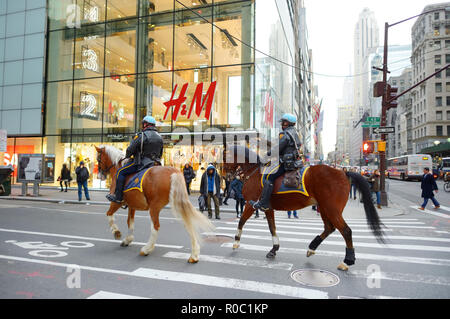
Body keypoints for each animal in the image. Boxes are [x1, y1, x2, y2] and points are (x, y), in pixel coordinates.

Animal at [223, 146, 384, 272]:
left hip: (331, 209)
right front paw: (274, 249)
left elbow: (242, 221)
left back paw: (347, 261)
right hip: (324, 208)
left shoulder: (251, 204)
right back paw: (311, 248)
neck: (254, 172)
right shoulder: (268, 208)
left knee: (345, 231)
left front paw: (236, 242)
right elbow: (272, 227)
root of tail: (343, 172)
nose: (226, 174)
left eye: (225, 156)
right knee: (329, 228)